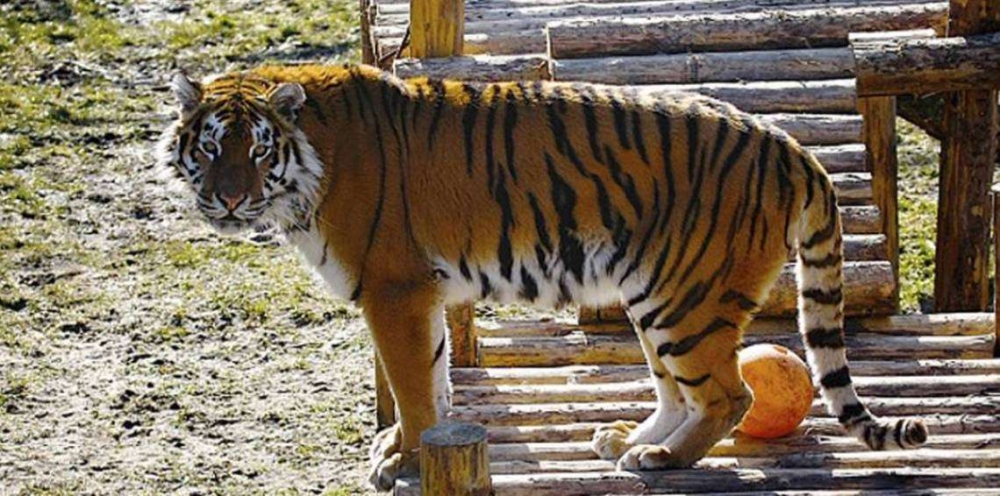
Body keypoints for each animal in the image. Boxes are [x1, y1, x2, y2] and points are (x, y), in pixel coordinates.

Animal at [156, 63, 928, 490]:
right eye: (213, 147)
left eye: (258, 151)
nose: (229, 199)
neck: (309, 163)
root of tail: (788, 144)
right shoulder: (421, 293)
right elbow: (435, 379)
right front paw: (413, 446)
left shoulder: (393, 287)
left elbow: (412, 389)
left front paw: (403, 461)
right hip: (657, 294)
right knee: (679, 390)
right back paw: (630, 441)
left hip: (687, 299)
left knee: (729, 394)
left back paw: (661, 460)